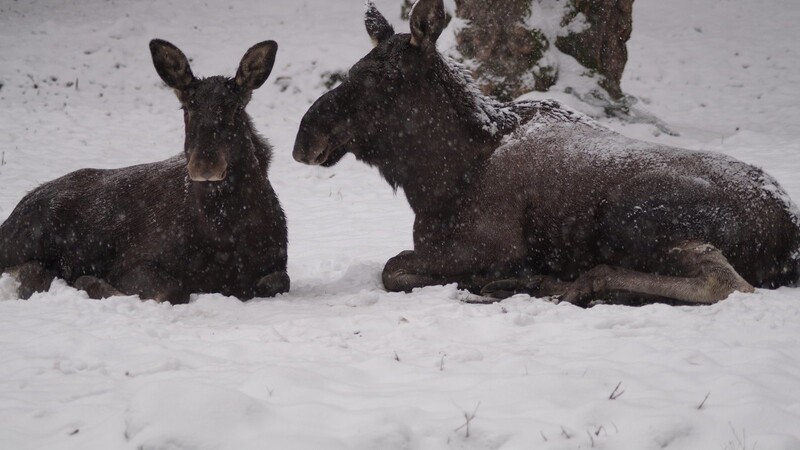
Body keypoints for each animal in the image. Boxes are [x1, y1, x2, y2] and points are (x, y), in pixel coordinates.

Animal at [0, 38, 288, 304]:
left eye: (237, 107)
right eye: (187, 107)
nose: (205, 164)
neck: (225, 235)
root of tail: (14, 213)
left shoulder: (276, 266)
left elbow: (276, 282)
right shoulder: (131, 263)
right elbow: (174, 289)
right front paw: (90, 282)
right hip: (27, 239)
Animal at [294, 0, 800, 306]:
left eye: (382, 78)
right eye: (356, 69)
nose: (304, 138)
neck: (436, 180)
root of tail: (787, 227)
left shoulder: (491, 245)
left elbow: (393, 268)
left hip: (632, 217)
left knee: (725, 281)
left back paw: (565, 283)